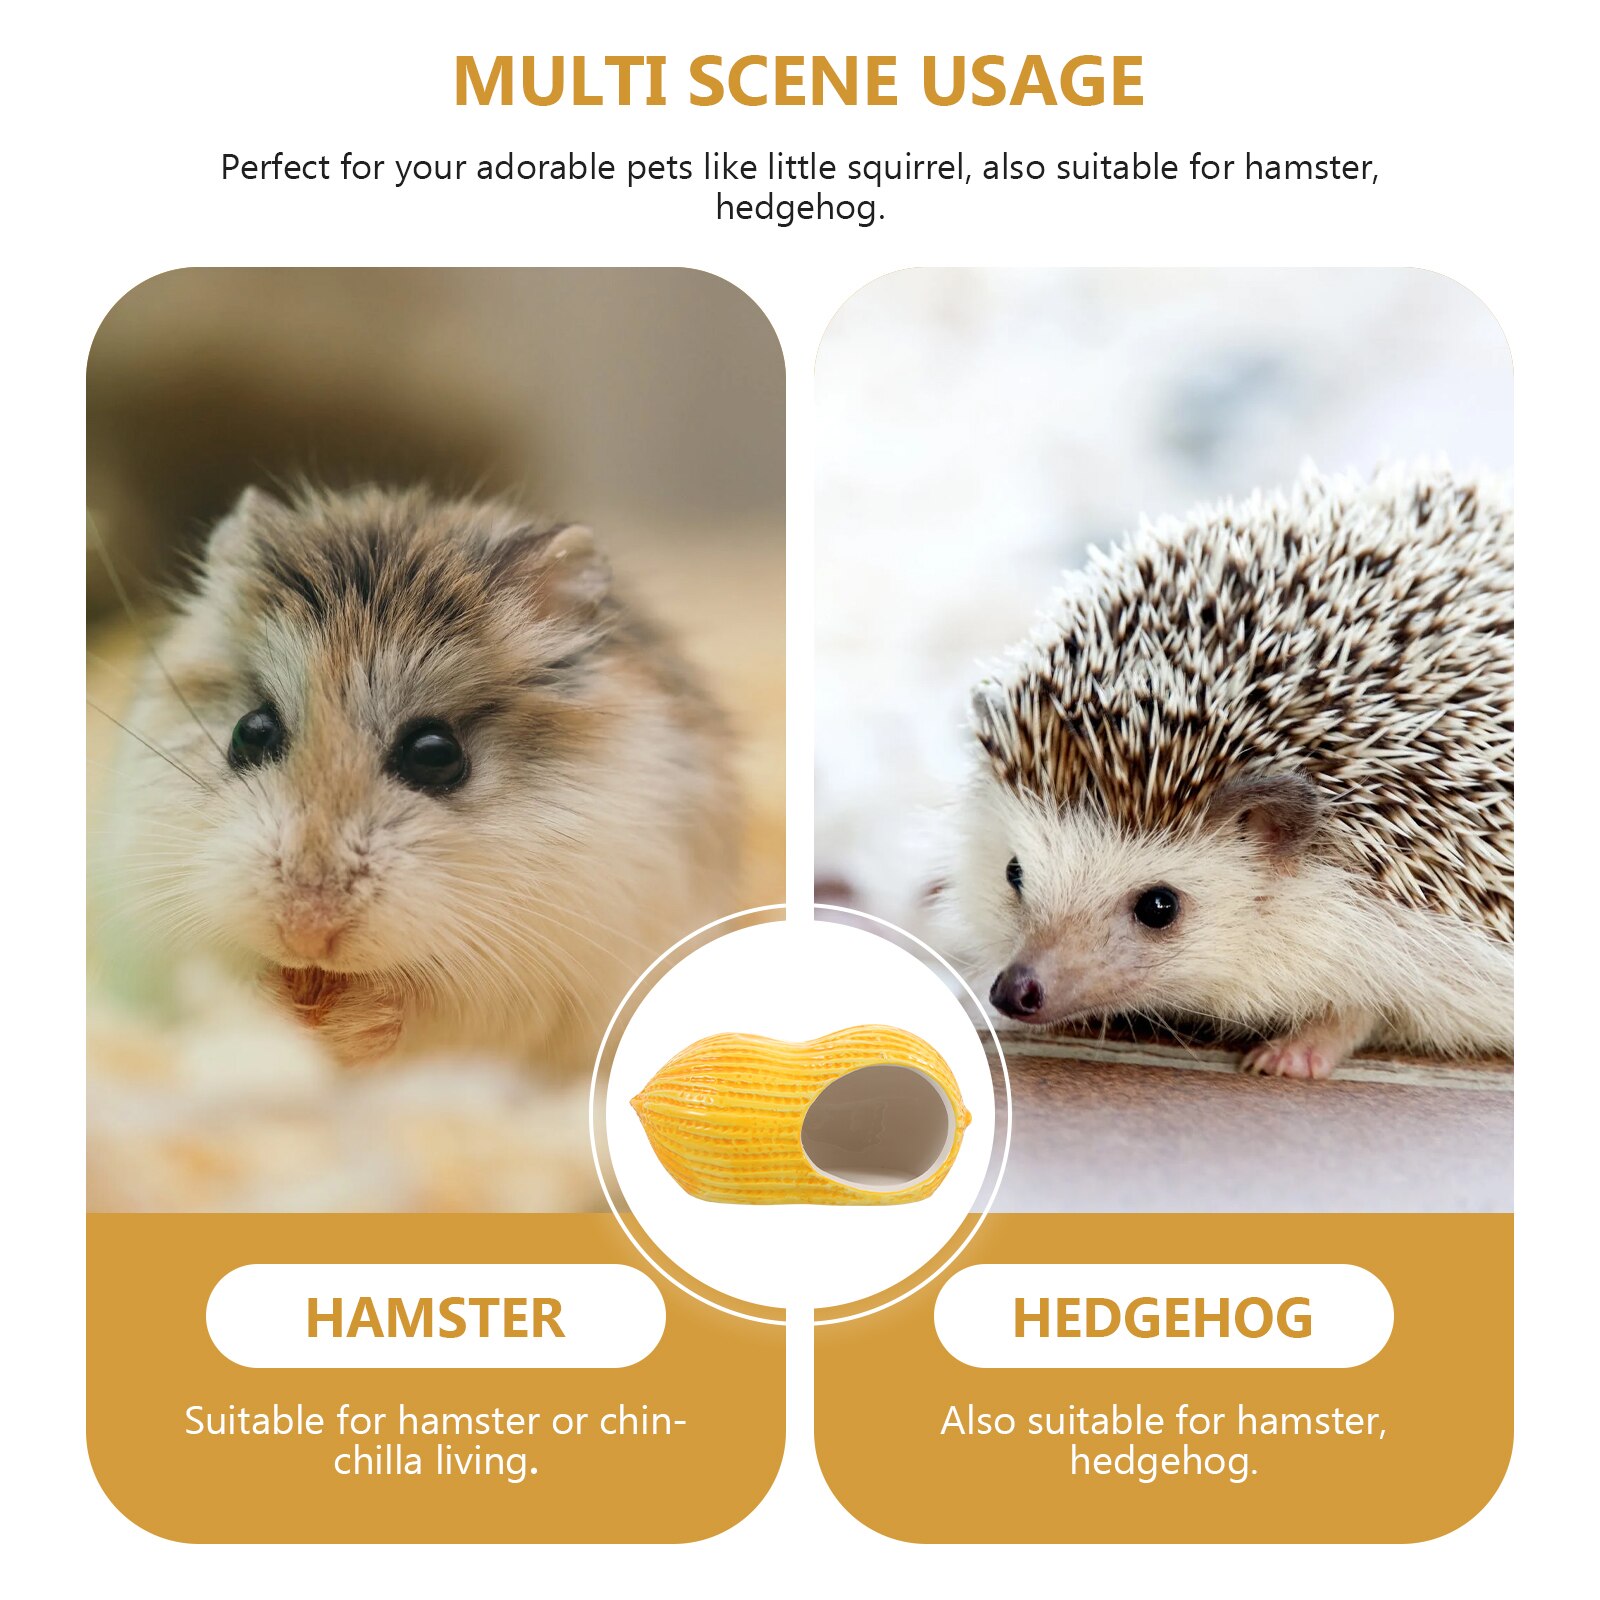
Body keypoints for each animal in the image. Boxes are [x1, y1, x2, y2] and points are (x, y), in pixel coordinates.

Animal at [107, 483, 739, 1069]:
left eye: (436, 754)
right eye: (250, 732)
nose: (306, 934)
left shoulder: (534, 976)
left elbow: (425, 1009)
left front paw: (348, 1025)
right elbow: (218, 979)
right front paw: (280, 1008)